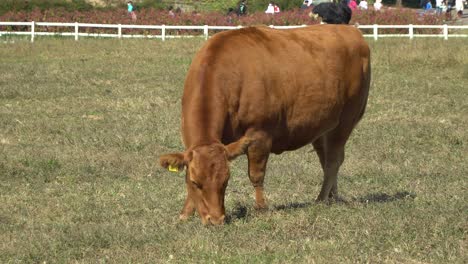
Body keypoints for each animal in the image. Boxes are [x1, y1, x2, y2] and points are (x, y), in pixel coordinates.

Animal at [159, 24, 372, 225]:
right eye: (196, 182)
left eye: (226, 181)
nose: (216, 220)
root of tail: (351, 31)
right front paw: (186, 213)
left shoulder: (259, 134)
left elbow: (256, 174)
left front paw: (261, 208)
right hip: (322, 127)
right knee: (327, 159)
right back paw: (332, 197)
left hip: (346, 120)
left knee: (333, 160)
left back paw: (321, 198)